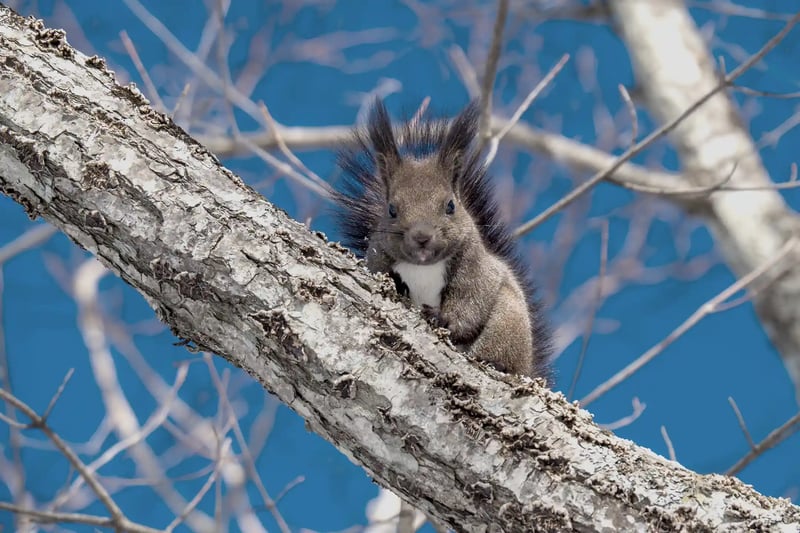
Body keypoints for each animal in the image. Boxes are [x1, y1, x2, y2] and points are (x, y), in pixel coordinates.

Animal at [334, 100, 552, 382]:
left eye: (450, 205)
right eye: (391, 209)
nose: (422, 237)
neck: (423, 267)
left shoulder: (475, 269)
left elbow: (470, 303)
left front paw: (442, 319)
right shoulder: (377, 259)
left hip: (508, 322)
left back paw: (497, 364)